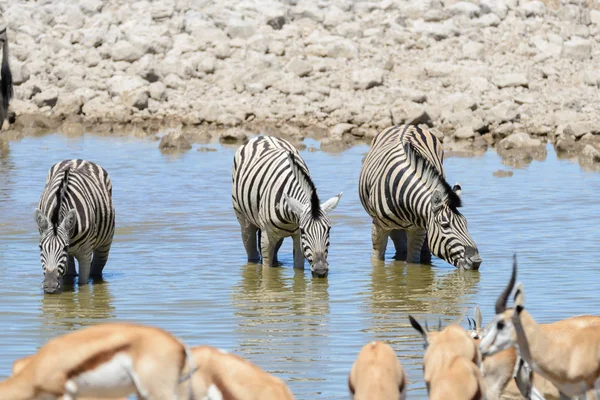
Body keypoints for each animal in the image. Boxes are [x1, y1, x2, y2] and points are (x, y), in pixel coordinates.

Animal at [34, 159, 116, 294]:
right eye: (40, 247)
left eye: (65, 248)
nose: (49, 286)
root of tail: (78, 159)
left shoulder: (85, 253)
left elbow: (84, 286)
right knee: (70, 274)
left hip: (105, 243)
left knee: (97, 268)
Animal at [231, 136, 342, 276]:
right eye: (304, 230)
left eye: (328, 229)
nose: (320, 270)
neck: (291, 217)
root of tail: (264, 136)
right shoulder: (268, 237)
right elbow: (267, 272)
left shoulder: (298, 239)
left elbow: (298, 271)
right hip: (245, 221)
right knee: (252, 252)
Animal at [358, 125, 480, 268]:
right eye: (445, 226)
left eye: (465, 223)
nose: (477, 262)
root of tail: (407, 125)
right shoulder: (378, 226)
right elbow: (377, 260)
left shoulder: (419, 229)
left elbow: (413, 262)